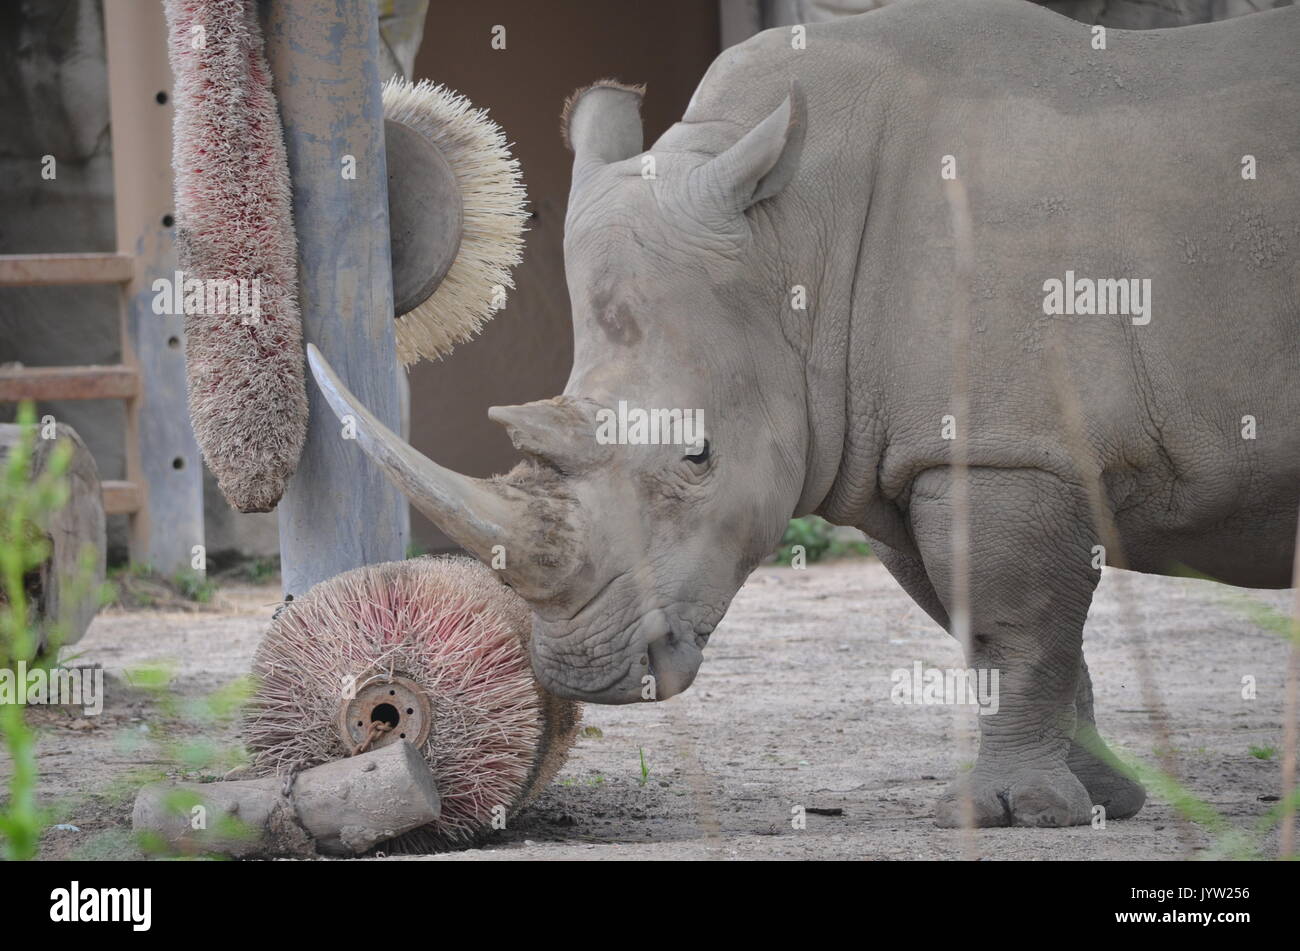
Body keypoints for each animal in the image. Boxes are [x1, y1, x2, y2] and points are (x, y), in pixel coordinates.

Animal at [307, 0, 1299, 827]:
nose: (585, 672)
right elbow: (999, 629)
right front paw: (1099, 803)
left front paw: (1018, 814)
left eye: (697, 456)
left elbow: (1014, 626)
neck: (792, 245)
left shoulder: (1006, 447)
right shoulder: (914, 451)